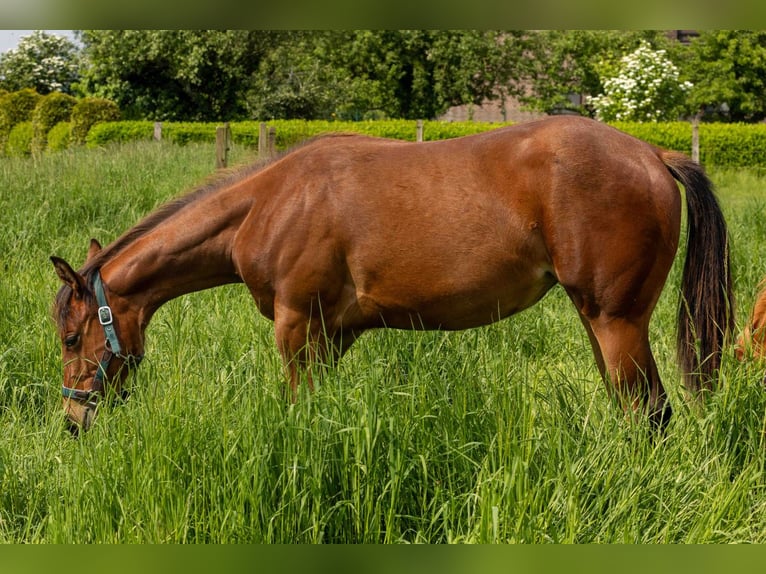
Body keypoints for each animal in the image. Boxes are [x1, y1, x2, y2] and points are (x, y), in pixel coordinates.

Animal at [51, 115, 734, 434]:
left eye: (70, 337)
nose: (72, 421)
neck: (271, 203)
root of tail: (651, 154)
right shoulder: (331, 336)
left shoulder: (297, 329)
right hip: (599, 324)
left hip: (618, 322)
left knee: (651, 414)